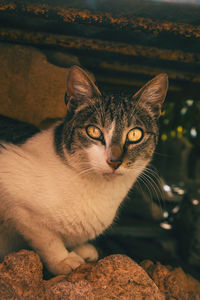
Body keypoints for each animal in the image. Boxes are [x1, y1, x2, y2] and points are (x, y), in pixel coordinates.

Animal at [0, 65, 168, 274]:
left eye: (135, 134)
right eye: (94, 131)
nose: (114, 161)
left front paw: (81, 248)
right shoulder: (17, 198)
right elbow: (47, 238)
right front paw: (63, 260)